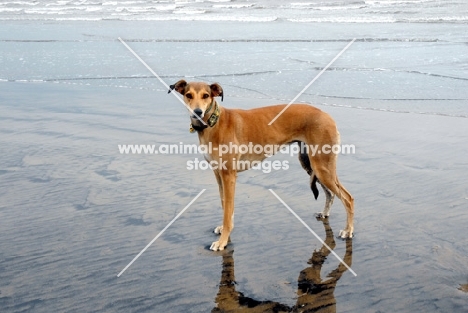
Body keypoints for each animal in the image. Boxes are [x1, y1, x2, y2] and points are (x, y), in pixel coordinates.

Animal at [169, 79, 354, 250]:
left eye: (206, 95)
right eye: (188, 95)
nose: (197, 112)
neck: (214, 122)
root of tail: (326, 115)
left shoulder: (229, 175)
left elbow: (228, 210)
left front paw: (222, 242)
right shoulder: (218, 174)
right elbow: (224, 205)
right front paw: (224, 231)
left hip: (322, 167)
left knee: (348, 198)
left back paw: (348, 231)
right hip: (311, 164)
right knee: (330, 194)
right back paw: (325, 214)